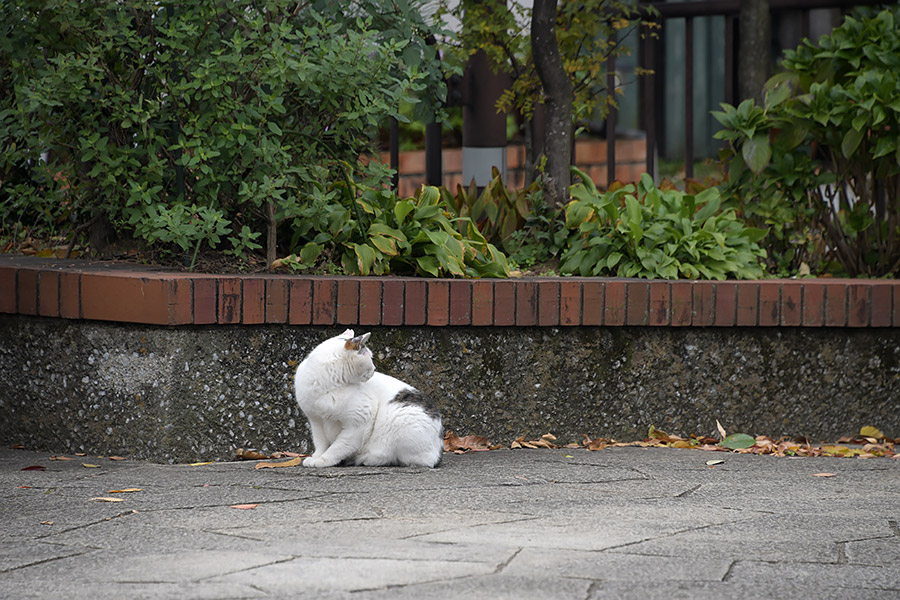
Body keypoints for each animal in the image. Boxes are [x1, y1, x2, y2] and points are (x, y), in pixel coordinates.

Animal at [294, 330, 444, 466]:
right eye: (370, 358)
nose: (374, 368)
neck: (328, 388)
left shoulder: (359, 422)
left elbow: (339, 447)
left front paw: (324, 460)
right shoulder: (316, 421)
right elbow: (320, 443)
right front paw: (316, 457)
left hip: (401, 418)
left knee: (416, 459)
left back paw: (367, 458)